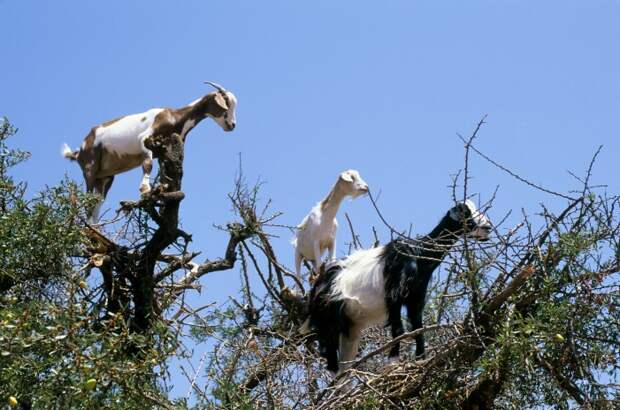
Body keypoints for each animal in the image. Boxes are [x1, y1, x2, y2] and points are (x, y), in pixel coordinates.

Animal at [62, 81, 237, 223]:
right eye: (226, 103)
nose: (232, 125)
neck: (174, 117)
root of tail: (79, 150)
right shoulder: (145, 140)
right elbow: (147, 165)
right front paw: (145, 189)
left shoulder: (163, 152)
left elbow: (164, 172)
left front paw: (164, 190)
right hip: (89, 167)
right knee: (87, 200)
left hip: (105, 177)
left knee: (97, 203)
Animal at [302, 199, 492, 374]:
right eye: (465, 211)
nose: (488, 227)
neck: (418, 253)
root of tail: (318, 284)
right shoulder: (394, 294)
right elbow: (399, 329)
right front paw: (393, 363)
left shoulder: (416, 297)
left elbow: (418, 329)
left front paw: (420, 359)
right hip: (328, 318)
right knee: (330, 359)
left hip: (350, 326)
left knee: (344, 365)